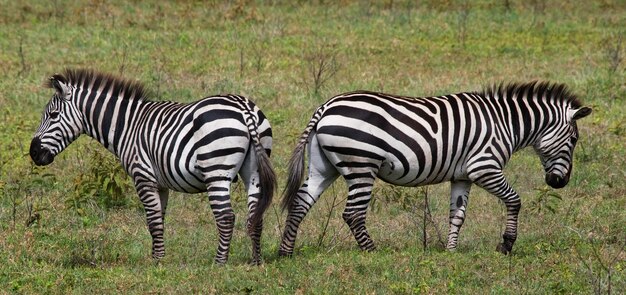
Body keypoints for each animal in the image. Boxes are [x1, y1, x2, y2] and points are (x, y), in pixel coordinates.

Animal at [28, 69, 272, 266]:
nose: (33, 153)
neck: (127, 126)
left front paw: (157, 262)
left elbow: (153, 221)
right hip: (254, 171)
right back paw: (256, 261)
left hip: (216, 171)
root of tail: (244, 109)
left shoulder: (143, 176)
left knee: (226, 217)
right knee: (256, 214)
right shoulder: (160, 183)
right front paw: (158, 255)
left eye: (53, 115)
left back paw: (219, 262)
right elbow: (159, 220)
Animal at [278, 82, 588, 258]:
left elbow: (457, 215)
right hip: (361, 165)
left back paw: (285, 252)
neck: (505, 124)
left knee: (300, 203)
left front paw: (450, 252)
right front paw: (506, 245)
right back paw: (373, 252)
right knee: (352, 213)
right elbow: (515, 200)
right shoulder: (484, 167)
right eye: (574, 140)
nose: (560, 182)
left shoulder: (462, 176)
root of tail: (325, 107)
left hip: (324, 166)